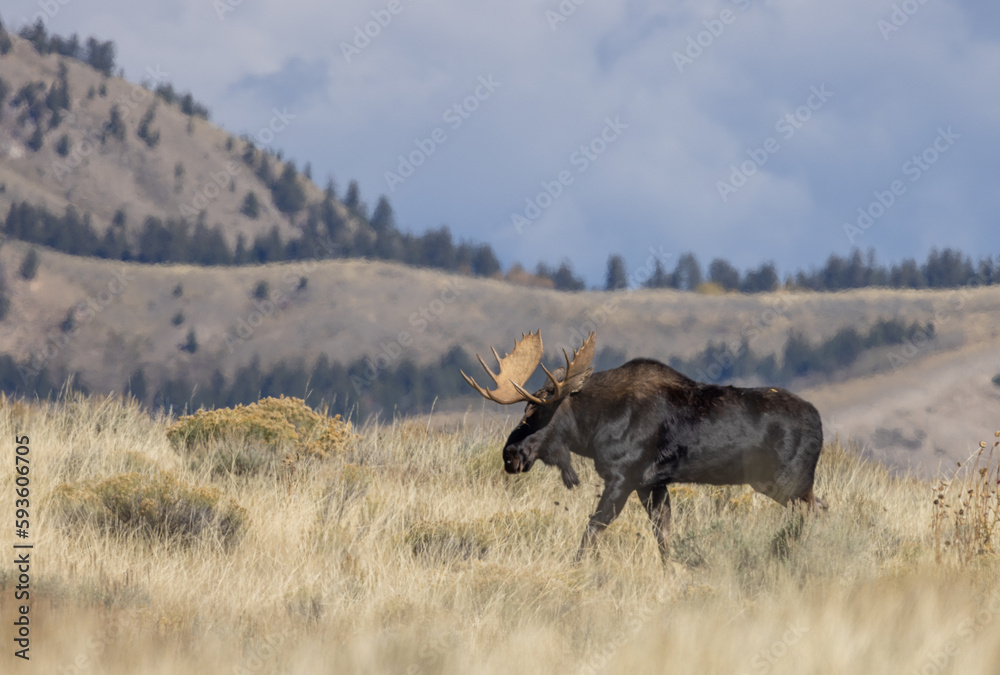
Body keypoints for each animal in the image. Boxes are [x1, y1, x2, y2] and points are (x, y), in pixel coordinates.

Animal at [461, 330, 827, 562]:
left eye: (538, 411)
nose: (510, 454)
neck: (593, 428)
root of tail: (820, 422)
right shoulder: (651, 484)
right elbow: (663, 537)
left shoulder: (623, 477)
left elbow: (592, 531)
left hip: (787, 482)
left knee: (814, 512)